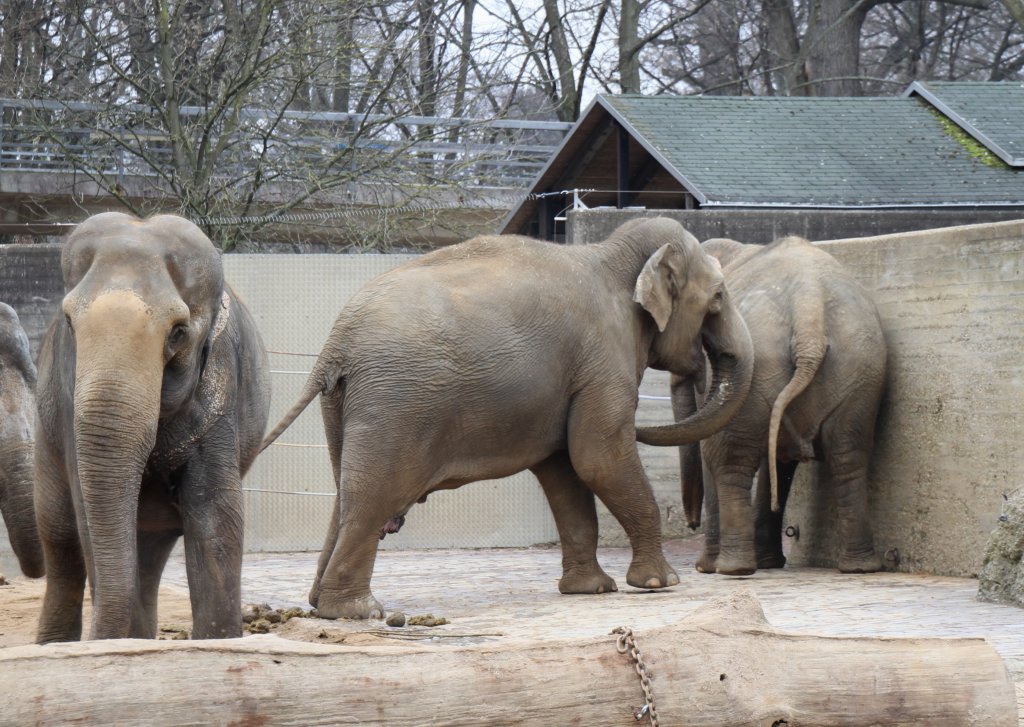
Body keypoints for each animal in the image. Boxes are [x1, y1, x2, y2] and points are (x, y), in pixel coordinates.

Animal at [33, 211, 272, 643]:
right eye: (70, 323)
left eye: (178, 332)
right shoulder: (66, 394)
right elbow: (86, 514)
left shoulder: (220, 391)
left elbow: (215, 514)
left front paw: (219, 642)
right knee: (60, 537)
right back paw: (56, 645)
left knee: (149, 548)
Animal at [260, 216, 757, 622]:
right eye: (717, 297)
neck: (614, 255)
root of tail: (335, 344)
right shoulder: (603, 361)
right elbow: (598, 457)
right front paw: (661, 583)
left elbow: (565, 471)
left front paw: (591, 590)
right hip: (396, 404)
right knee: (374, 495)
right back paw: (356, 612)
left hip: (347, 403)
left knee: (346, 492)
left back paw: (319, 604)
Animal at [659, 236, 892, 577]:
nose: (689, 524)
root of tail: (809, 308)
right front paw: (768, 562)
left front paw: (706, 567)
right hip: (862, 365)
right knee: (849, 454)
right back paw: (859, 567)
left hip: (768, 365)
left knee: (728, 459)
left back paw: (732, 568)